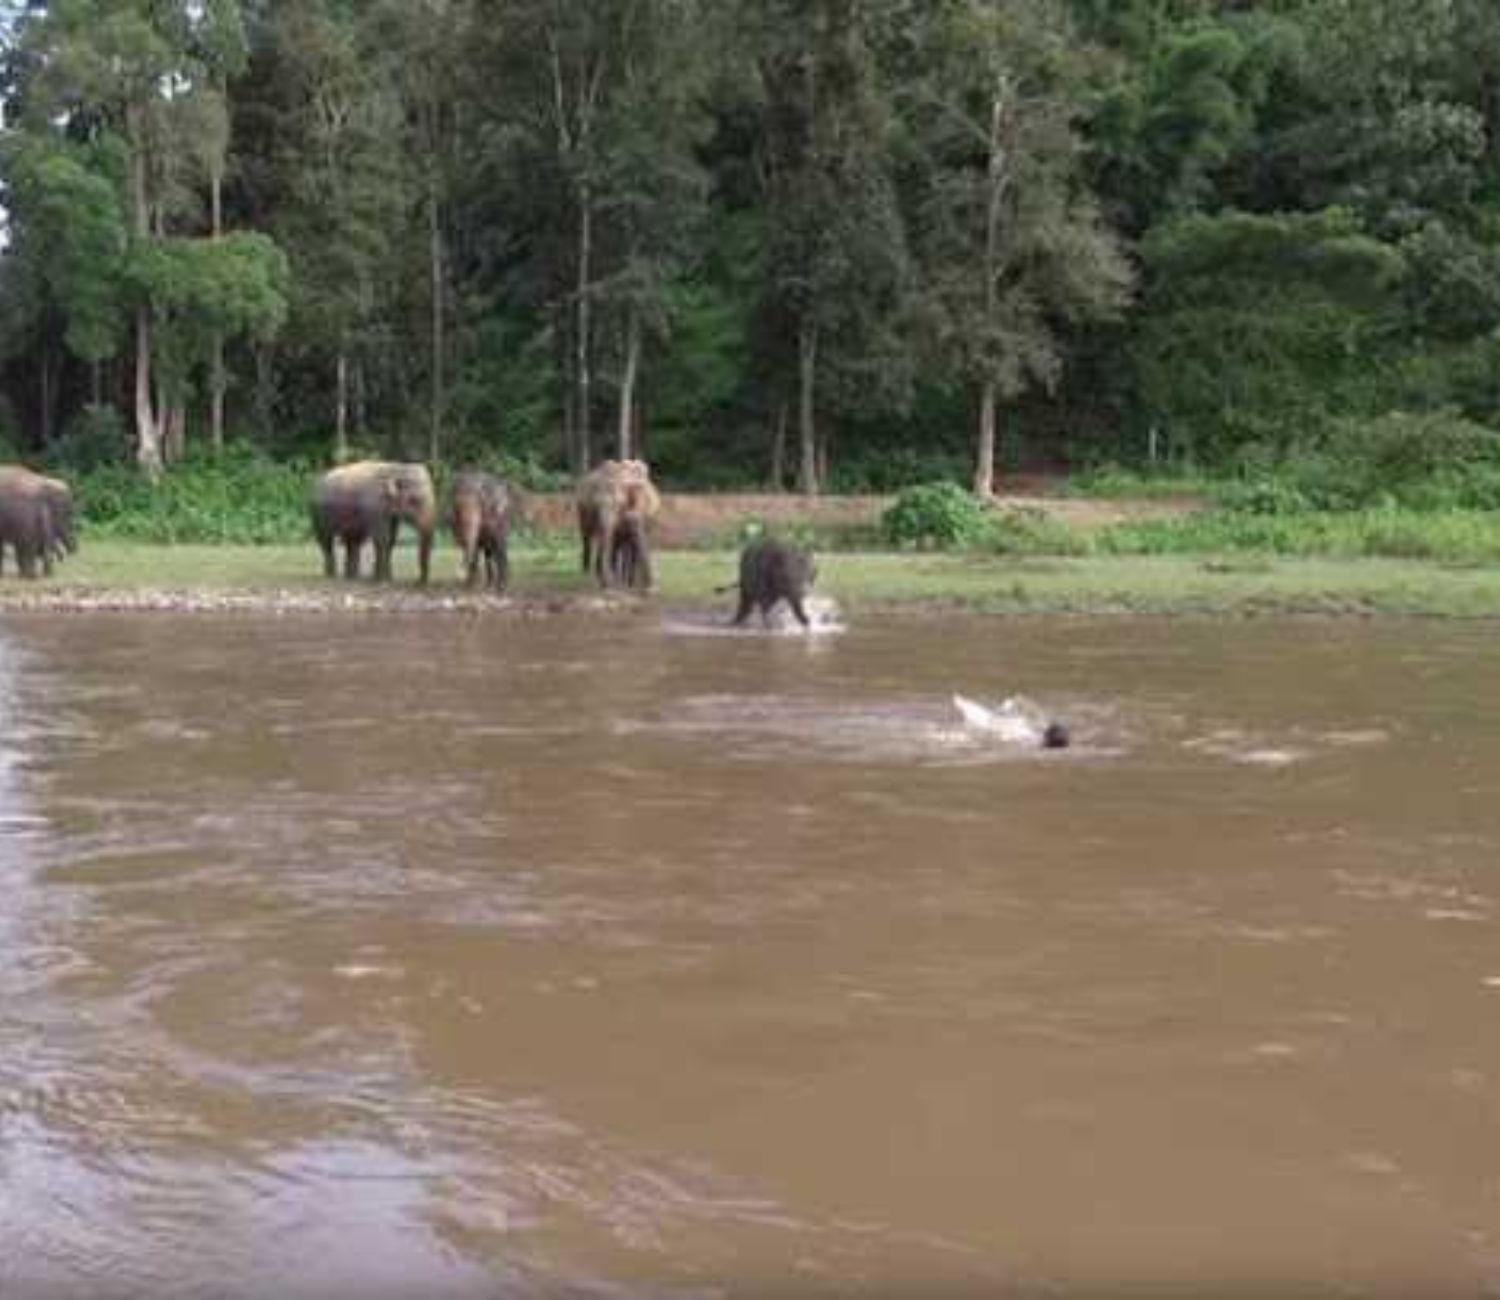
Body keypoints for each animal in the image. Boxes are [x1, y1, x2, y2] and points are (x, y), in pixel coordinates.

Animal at [576, 458, 660, 590]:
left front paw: (627, 584)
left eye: (619, 505)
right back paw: (587, 573)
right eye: (596, 504)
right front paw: (613, 583)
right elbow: (612, 541)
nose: (649, 588)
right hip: (581, 509)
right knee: (587, 536)